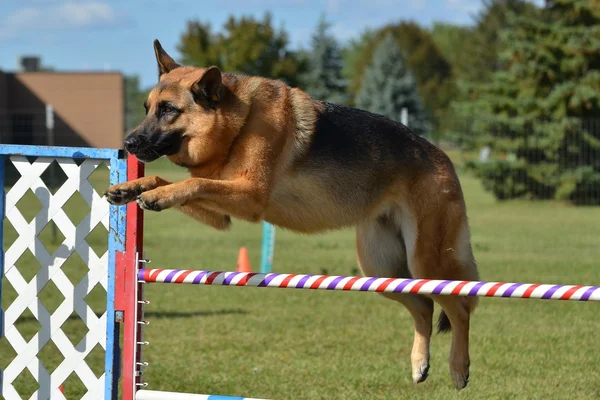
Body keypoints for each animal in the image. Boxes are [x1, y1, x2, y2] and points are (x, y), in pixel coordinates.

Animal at [103, 39, 478, 390]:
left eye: (168, 110)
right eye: (148, 109)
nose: (129, 142)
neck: (239, 124)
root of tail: (443, 157)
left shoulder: (249, 196)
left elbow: (192, 182)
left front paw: (157, 195)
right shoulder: (221, 210)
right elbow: (170, 178)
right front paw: (132, 189)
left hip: (426, 261)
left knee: (459, 306)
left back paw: (459, 368)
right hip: (382, 268)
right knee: (424, 306)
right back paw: (419, 364)